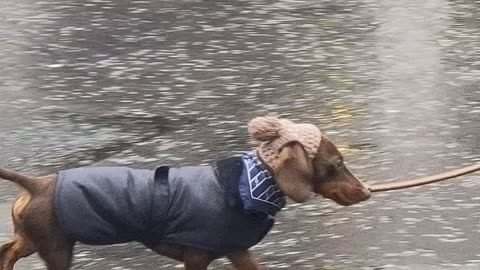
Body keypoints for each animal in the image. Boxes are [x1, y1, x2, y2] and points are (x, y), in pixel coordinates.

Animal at [0, 118, 372, 270]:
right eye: (336, 165)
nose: (367, 191)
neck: (245, 185)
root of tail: (36, 183)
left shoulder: (237, 251)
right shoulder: (196, 256)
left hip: (36, 239)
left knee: (7, 250)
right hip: (56, 248)